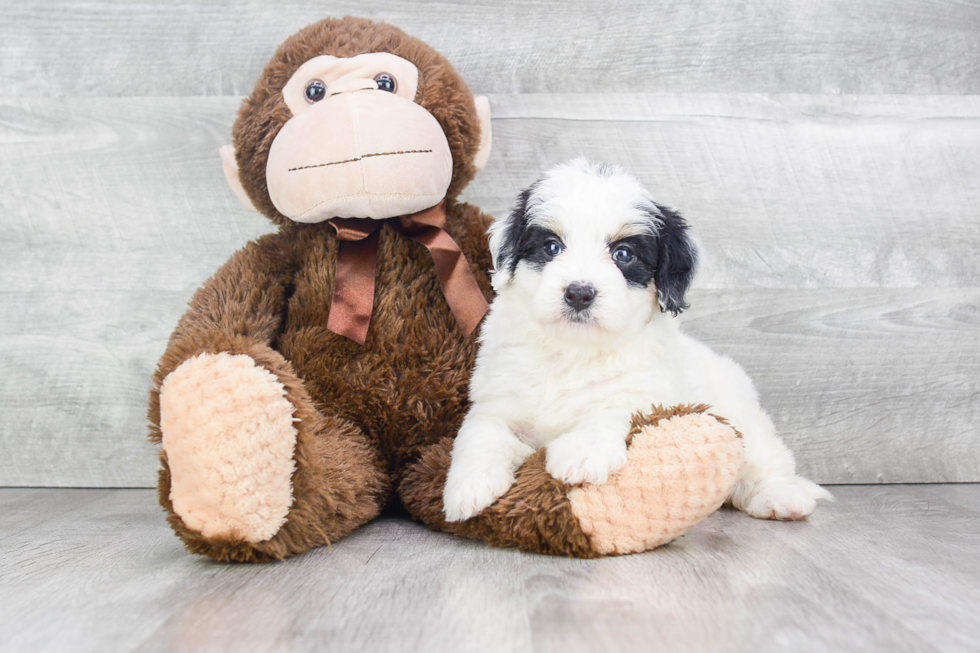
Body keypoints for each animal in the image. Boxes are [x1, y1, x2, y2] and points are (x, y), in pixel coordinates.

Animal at [444, 160, 836, 524]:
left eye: (623, 255)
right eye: (551, 247)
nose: (579, 293)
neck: (572, 350)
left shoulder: (644, 391)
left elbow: (613, 408)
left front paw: (580, 453)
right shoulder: (497, 397)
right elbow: (481, 431)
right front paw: (468, 487)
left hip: (742, 416)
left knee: (766, 460)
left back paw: (781, 498)